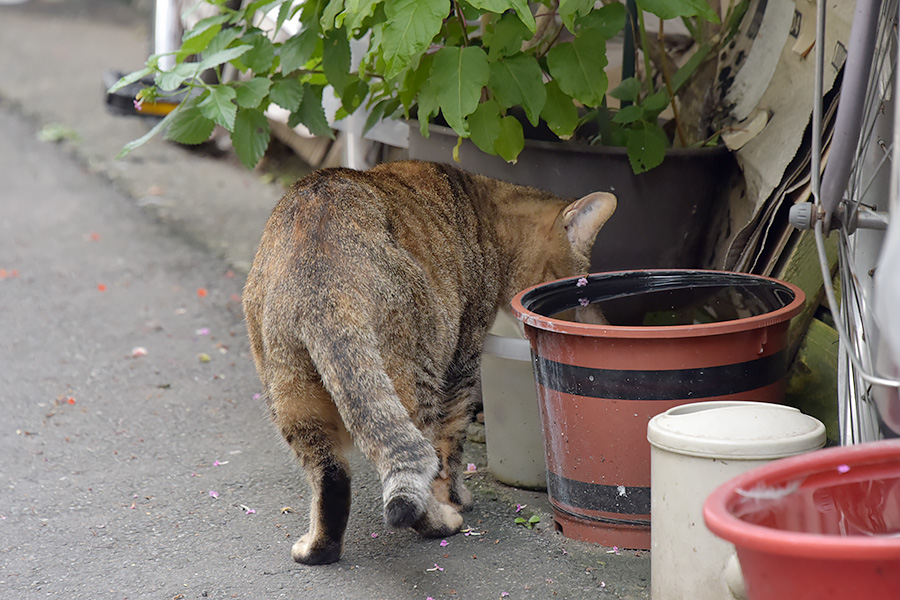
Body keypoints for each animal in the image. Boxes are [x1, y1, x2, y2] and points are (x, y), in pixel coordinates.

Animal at [243, 158, 616, 564]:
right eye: (574, 288)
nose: (578, 316)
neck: (485, 209)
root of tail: (321, 281)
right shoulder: (463, 360)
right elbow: (451, 445)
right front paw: (457, 498)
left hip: (289, 392)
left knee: (331, 475)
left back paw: (317, 549)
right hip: (413, 370)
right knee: (416, 465)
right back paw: (443, 522)